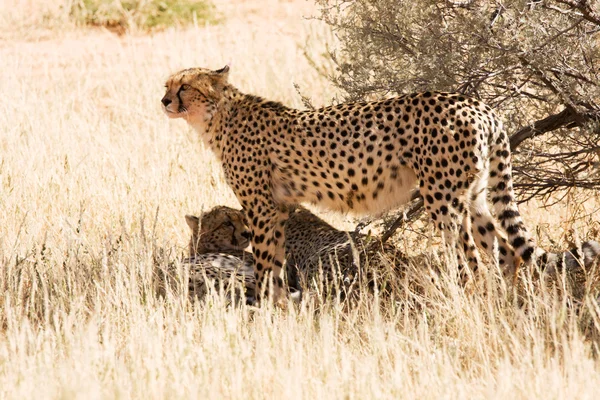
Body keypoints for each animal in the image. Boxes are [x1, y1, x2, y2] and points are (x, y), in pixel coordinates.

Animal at [162, 65, 536, 298]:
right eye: (167, 85)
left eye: (185, 87)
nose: (164, 101)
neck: (218, 117)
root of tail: (478, 105)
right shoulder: (281, 208)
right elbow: (276, 263)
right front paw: (279, 304)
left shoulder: (262, 208)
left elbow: (266, 264)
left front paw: (267, 307)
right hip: (475, 194)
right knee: (504, 251)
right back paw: (505, 303)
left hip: (443, 198)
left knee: (468, 259)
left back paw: (467, 299)